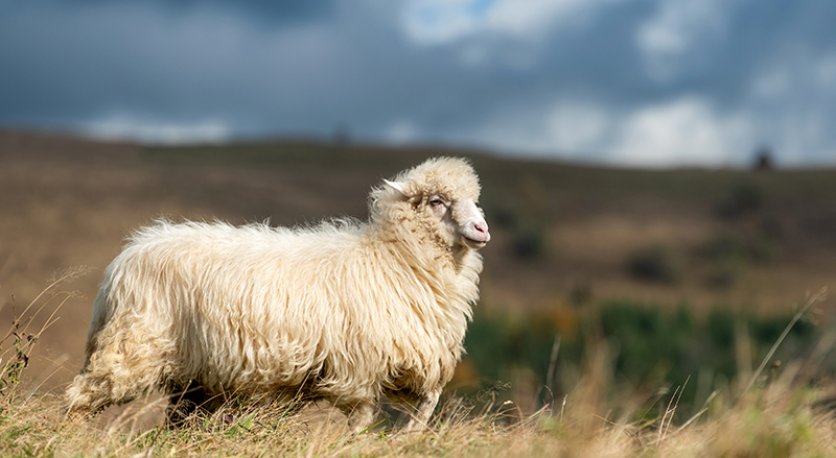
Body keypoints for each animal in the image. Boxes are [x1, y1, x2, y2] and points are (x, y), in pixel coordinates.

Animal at [68, 156, 494, 432]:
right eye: (437, 201)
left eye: (475, 200)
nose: (482, 229)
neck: (393, 259)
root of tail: (127, 255)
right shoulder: (361, 369)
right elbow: (362, 420)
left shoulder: (412, 363)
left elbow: (428, 404)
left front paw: (408, 439)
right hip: (132, 349)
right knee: (81, 397)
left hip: (195, 377)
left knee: (177, 421)